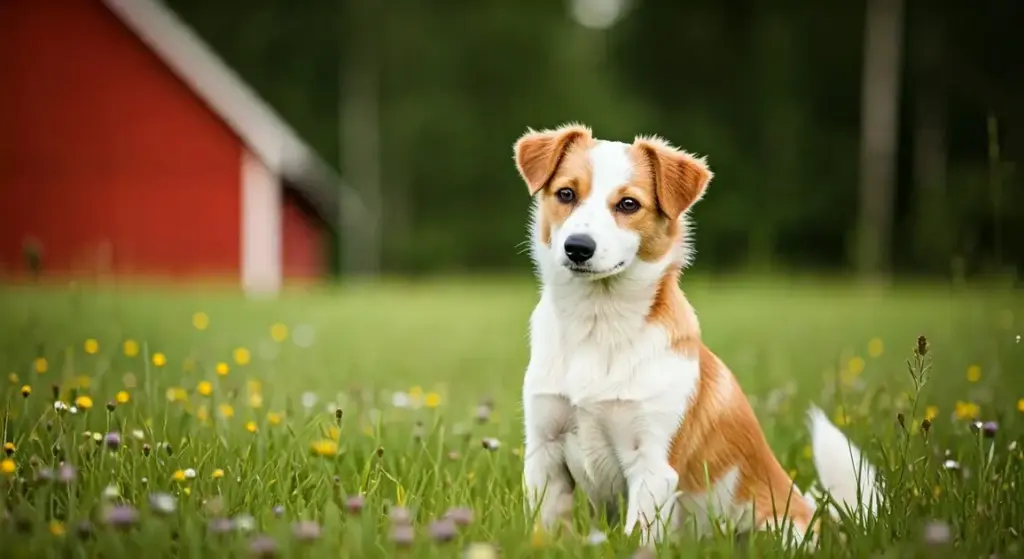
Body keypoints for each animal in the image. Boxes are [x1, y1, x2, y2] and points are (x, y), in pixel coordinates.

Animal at [516, 121, 884, 544]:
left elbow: (638, 539)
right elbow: (546, 528)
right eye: (566, 194)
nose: (578, 247)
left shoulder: (653, 465)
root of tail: (826, 525)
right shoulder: (545, 453)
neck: (597, 324)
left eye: (628, 204)